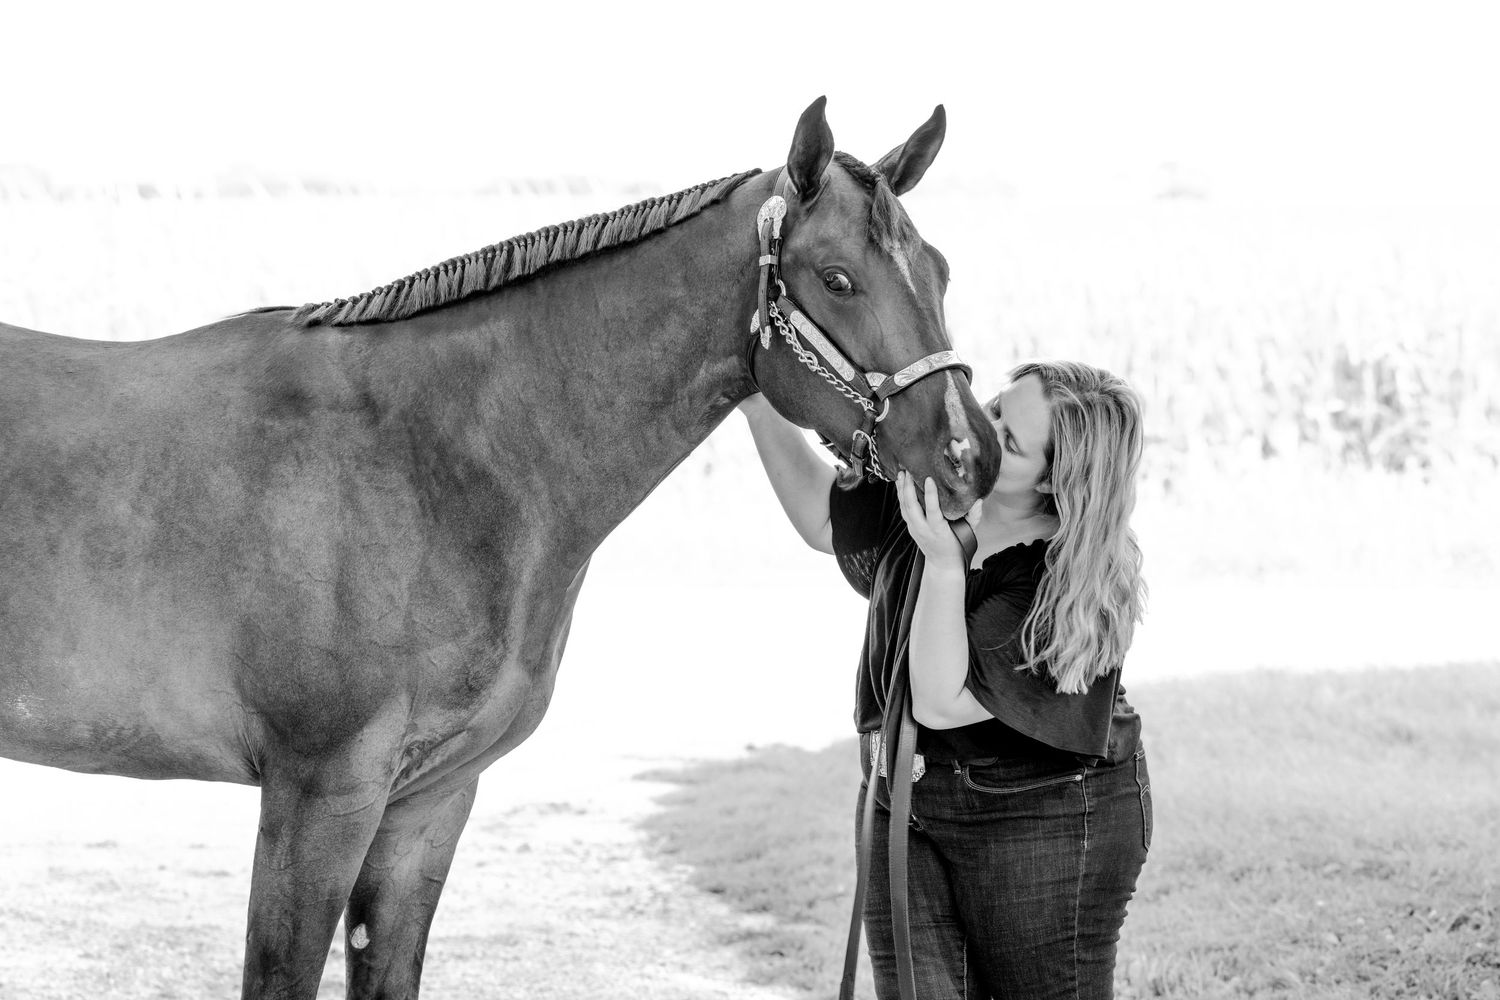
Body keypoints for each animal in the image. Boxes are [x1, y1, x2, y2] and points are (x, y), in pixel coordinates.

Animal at [0, 97, 1001, 999]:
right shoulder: (318, 797)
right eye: (836, 278)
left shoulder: (429, 804)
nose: (971, 456)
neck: (433, 455)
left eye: (943, 271)